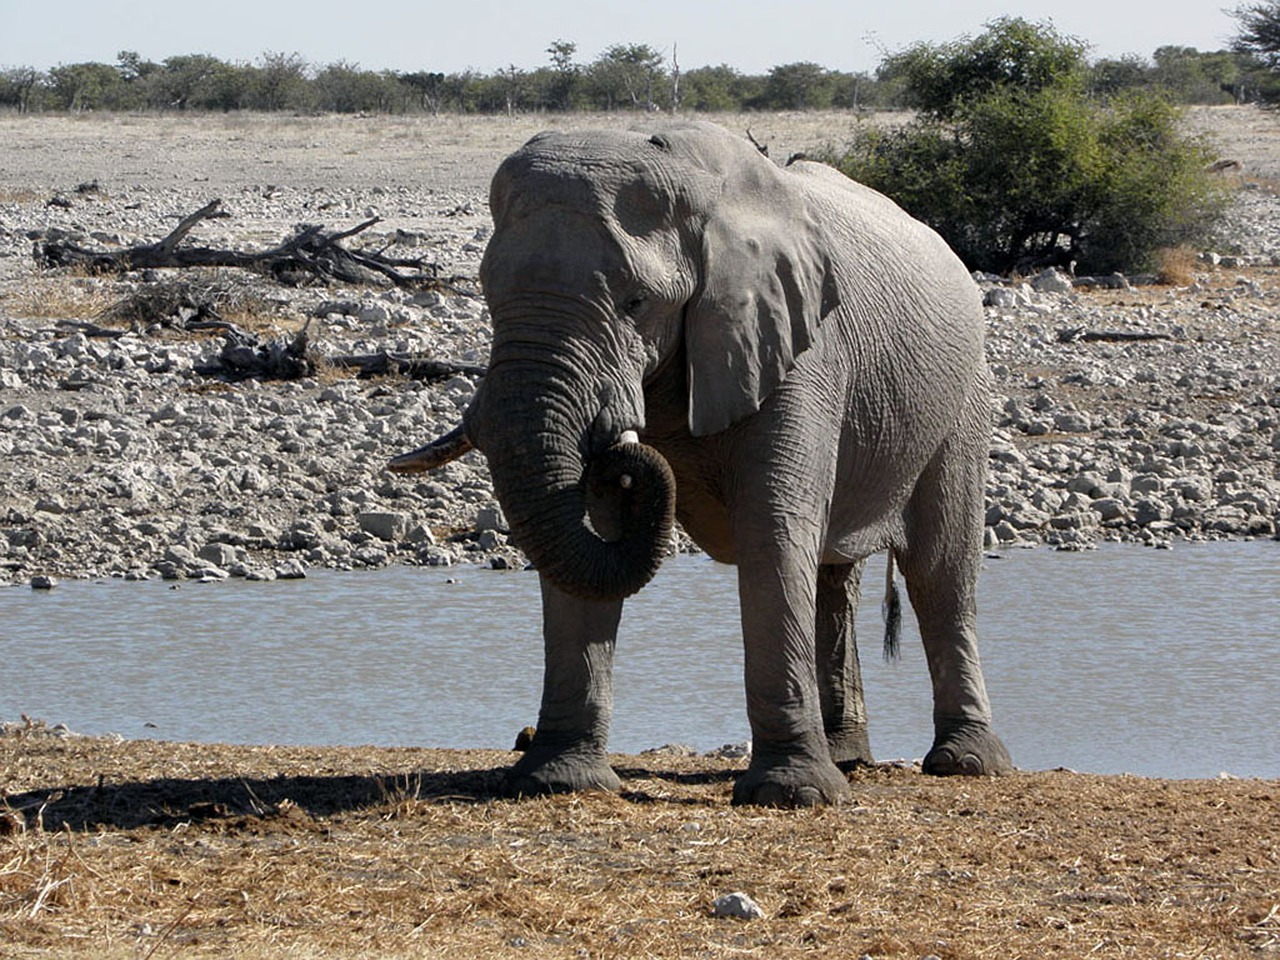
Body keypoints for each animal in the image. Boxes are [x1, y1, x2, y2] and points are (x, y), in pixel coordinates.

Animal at [389, 122, 1008, 814]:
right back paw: (849, 756)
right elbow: (589, 533)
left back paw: (963, 763)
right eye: (489, 295)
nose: (620, 460)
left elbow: (772, 529)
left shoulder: (798, 348)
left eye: (636, 302)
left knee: (938, 569)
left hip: (965, 398)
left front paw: (791, 796)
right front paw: (556, 781)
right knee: (835, 573)